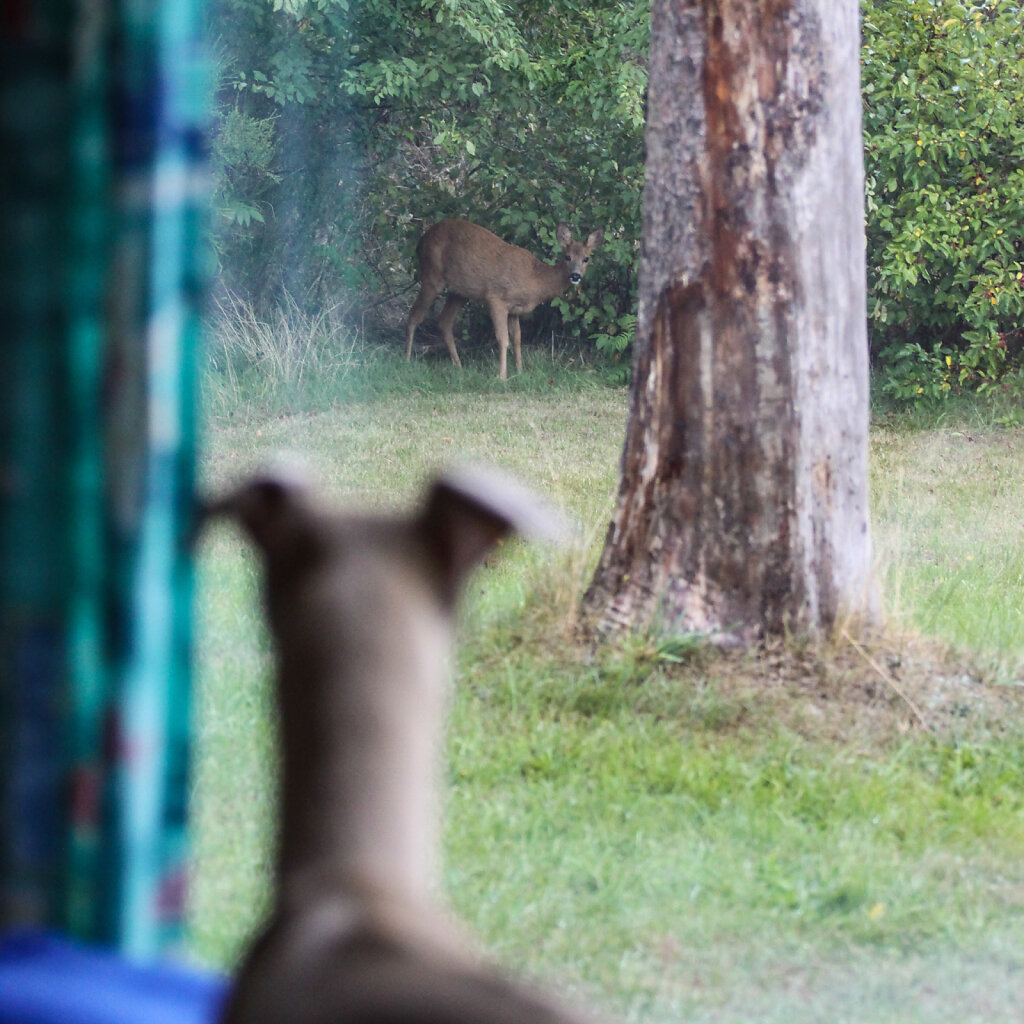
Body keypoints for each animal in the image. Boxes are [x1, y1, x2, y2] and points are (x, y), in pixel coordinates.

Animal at [405, 219, 602, 380]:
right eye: (567, 257)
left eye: (586, 258)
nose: (575, 276)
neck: (535, 279)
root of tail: (421, 240)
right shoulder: (496, 298)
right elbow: (503, 339)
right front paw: (502, 376)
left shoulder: (515, 310)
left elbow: (517, 339)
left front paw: (520, 371)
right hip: (432, 275)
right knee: (414, 315)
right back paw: (407, 360)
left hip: (459, 291)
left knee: (444, 321)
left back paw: (458, 366)